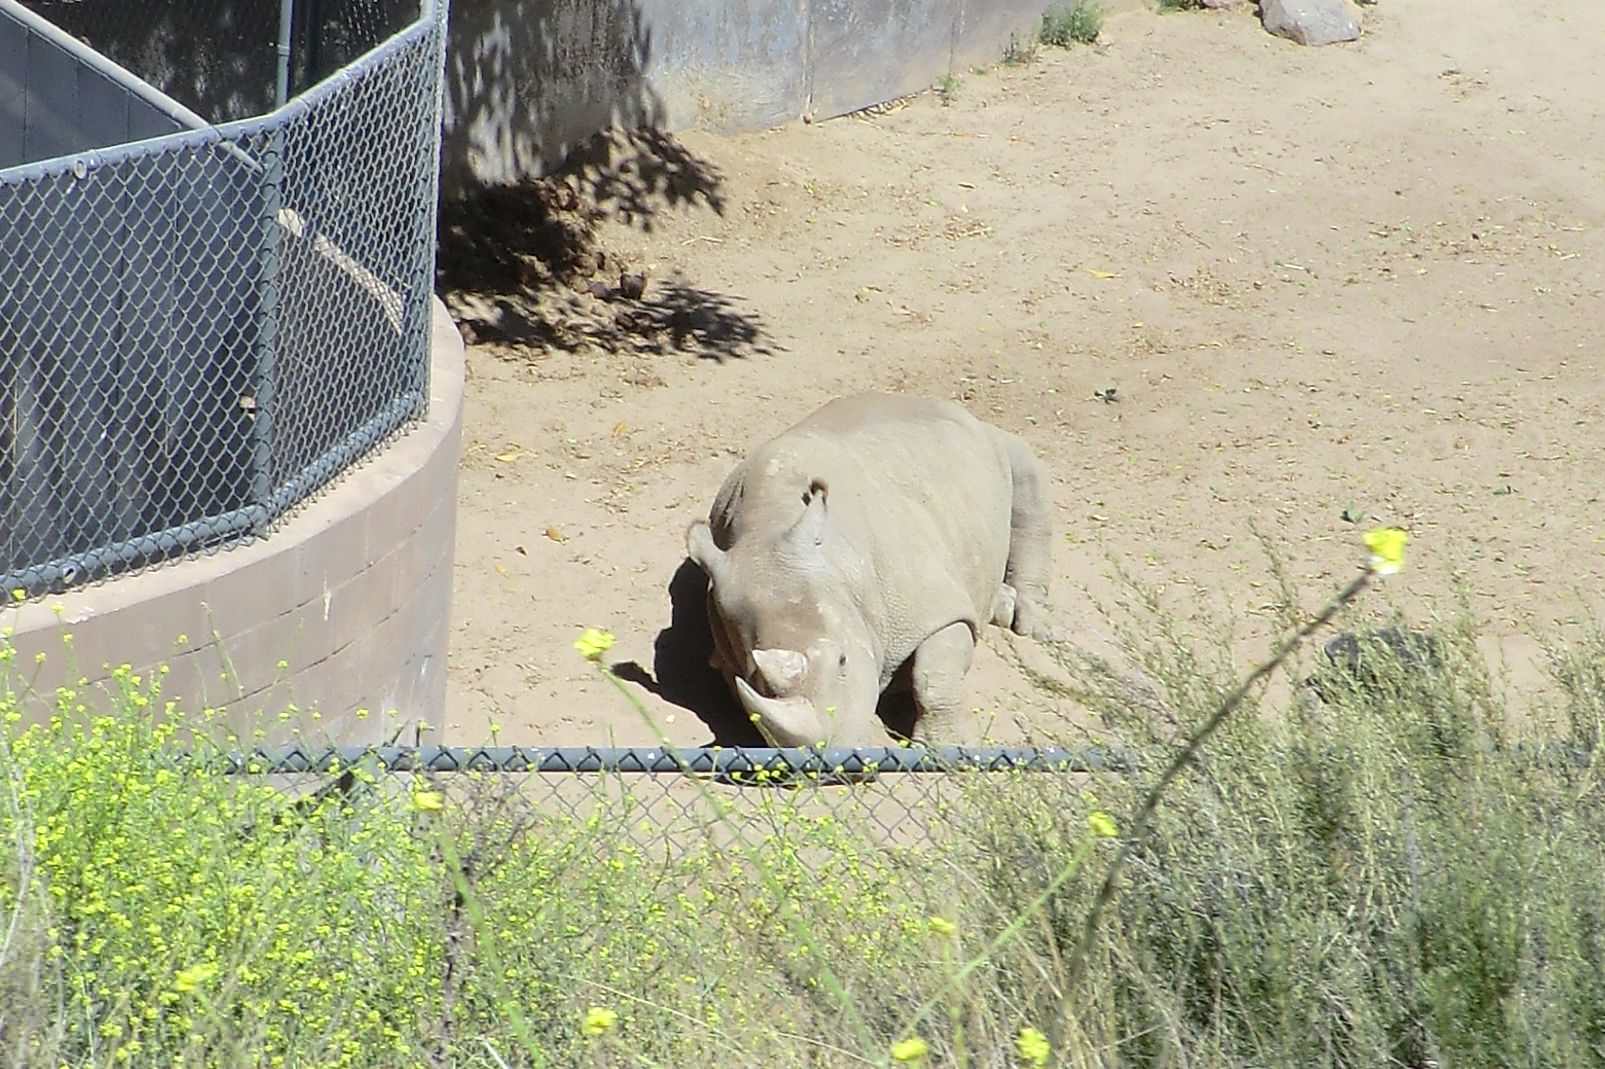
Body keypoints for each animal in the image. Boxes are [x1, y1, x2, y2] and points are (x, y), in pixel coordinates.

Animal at [685, 392, 1055, 748]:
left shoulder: (933, 603)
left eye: (843, 661)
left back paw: (1025, 622)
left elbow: (933, 673)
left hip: (988, 441)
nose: (829, 756)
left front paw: (947, 747)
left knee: (1023, 468)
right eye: (755, 678)